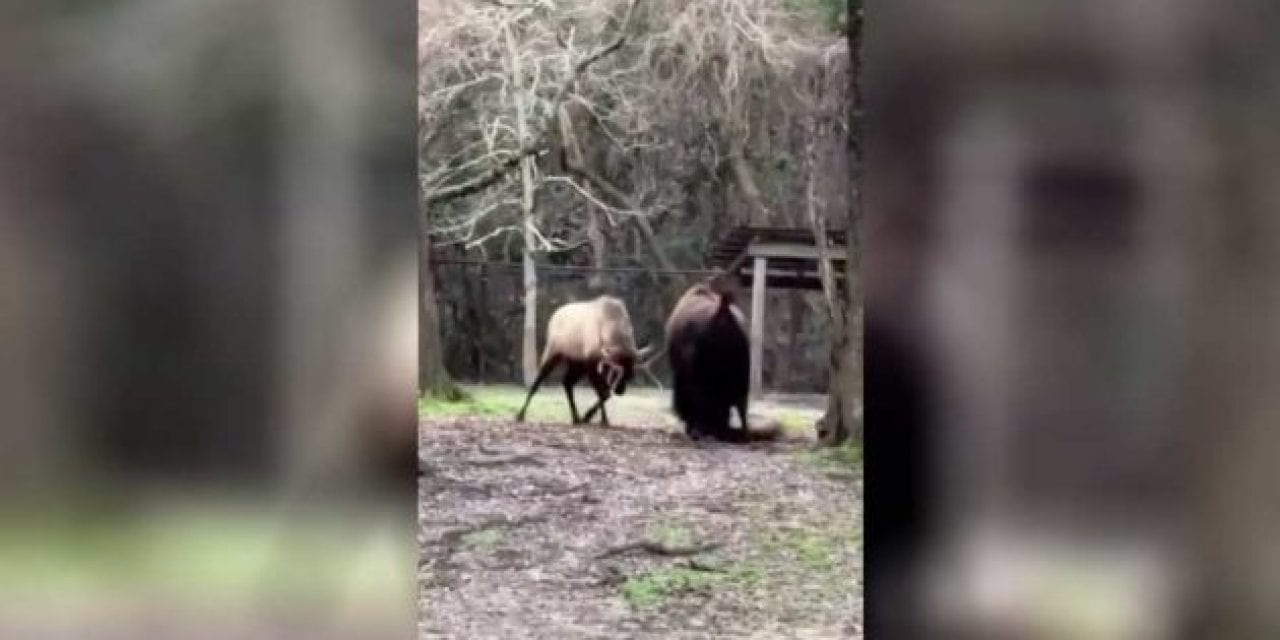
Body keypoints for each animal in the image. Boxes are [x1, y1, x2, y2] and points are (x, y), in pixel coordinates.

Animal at [512, 294, 650, 424]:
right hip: (553, 353)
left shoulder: (599, 365)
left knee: (567, 382)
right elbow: (602, 391)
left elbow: (605, 392)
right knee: (538, 381)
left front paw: (593, 418)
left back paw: (576, 417)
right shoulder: (591, 363)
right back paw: (520, 414)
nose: (620, 390)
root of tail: (553, 317)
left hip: (576, 364)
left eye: (631, 373)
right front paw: (596, 418)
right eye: (616, 370)